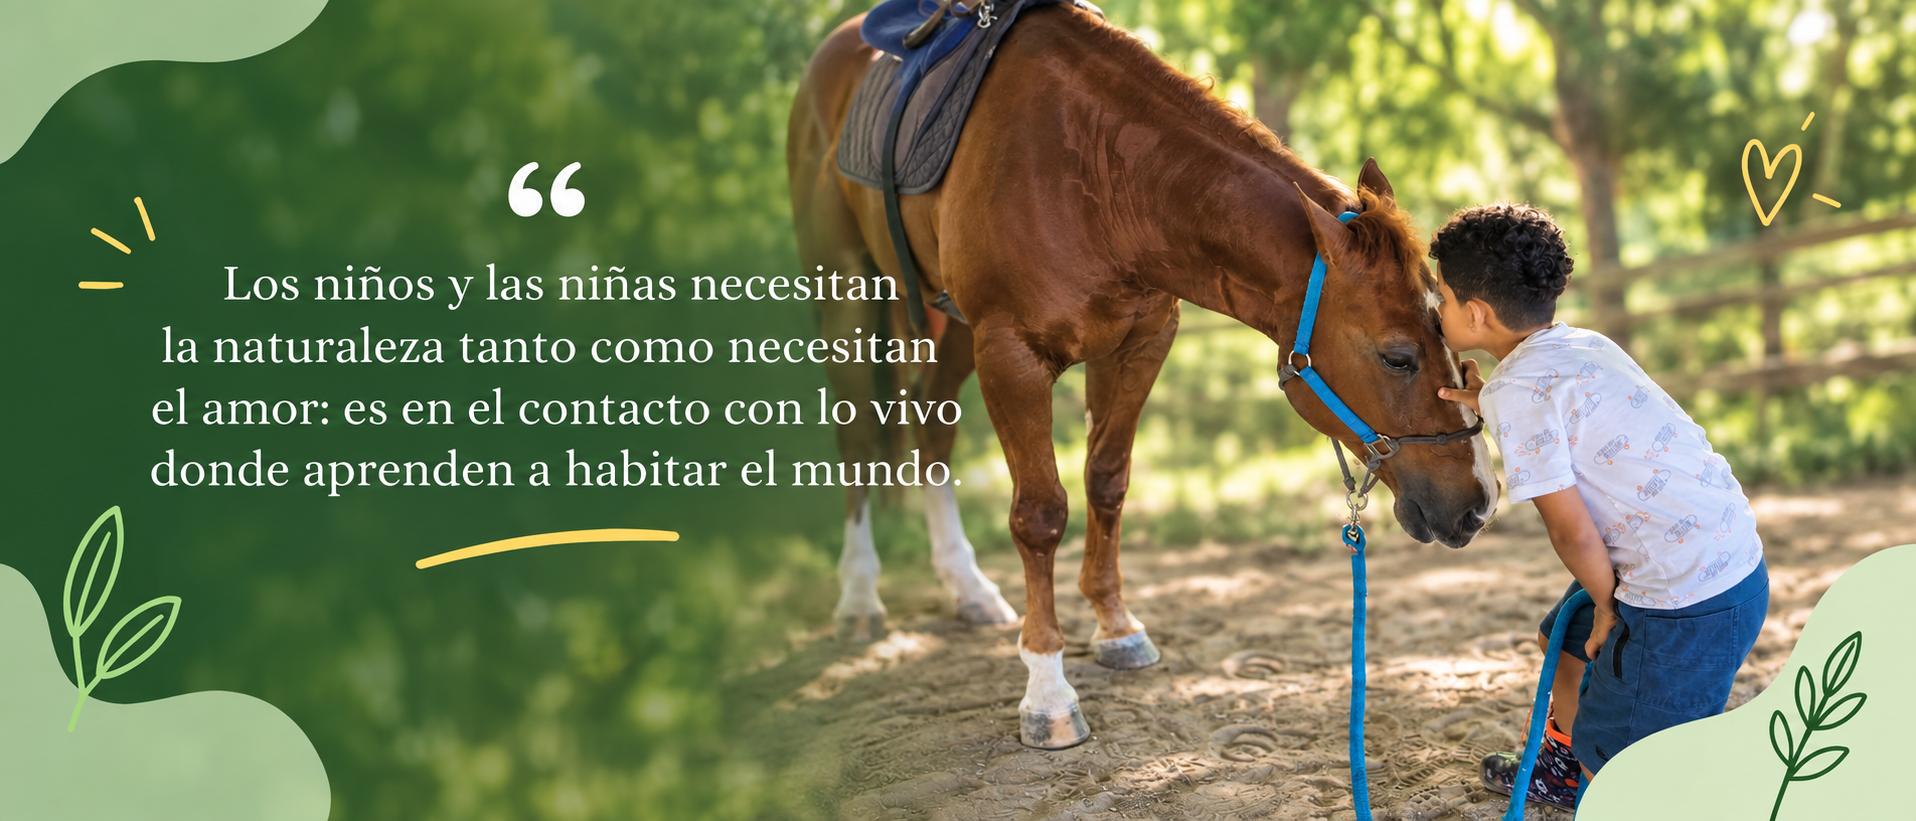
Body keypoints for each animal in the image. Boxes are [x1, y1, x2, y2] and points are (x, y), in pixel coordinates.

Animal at [786, 2, 1498, 749]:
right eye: (1398, 356)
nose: (1479, 500)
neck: (1100, 174)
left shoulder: (1139, 343)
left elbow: (1108, 481)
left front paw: (1116, 627)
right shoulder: (1010, 354)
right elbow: (1040, 513)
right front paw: (1047, 689)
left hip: (945, 323)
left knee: (931, 430)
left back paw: (967, 586)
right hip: (848, 291)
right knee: (859, 440)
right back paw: (859, 595)